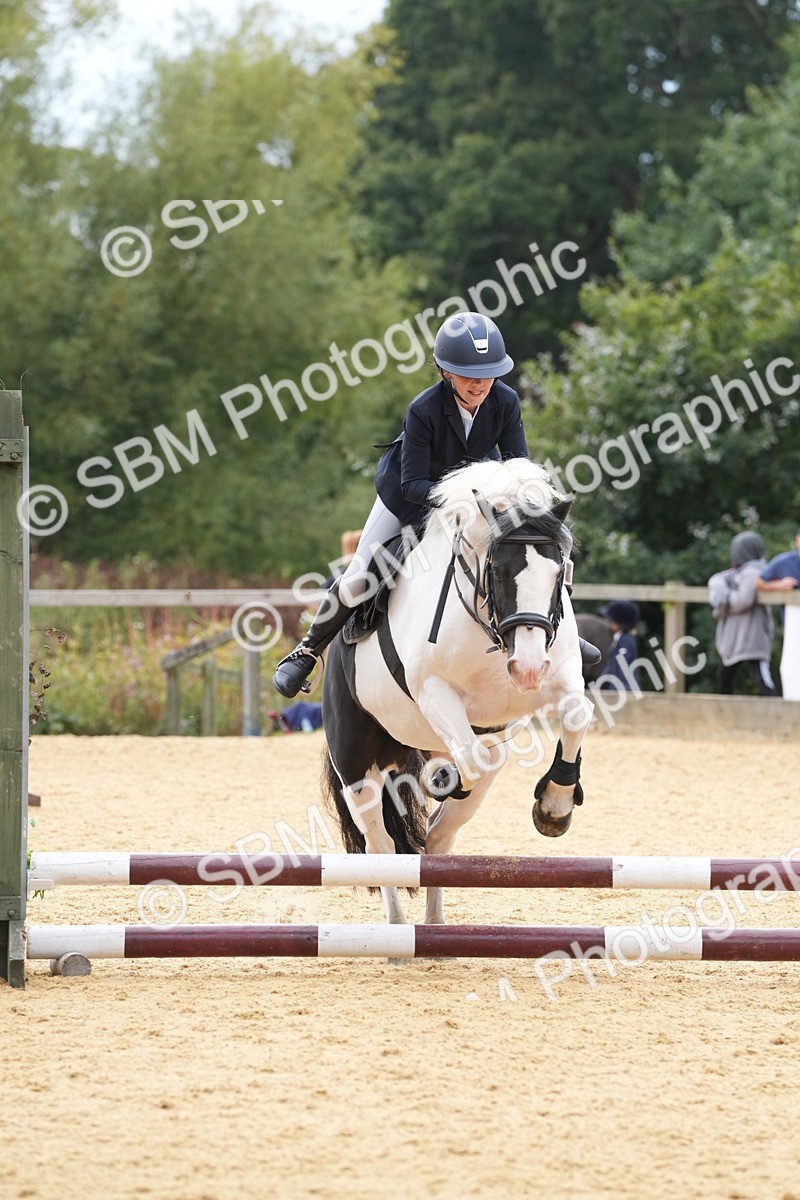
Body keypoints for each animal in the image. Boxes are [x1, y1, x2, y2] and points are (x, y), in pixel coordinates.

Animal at [321, 458, 593, 926]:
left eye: (559, 573)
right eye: (498, 571)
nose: (528, 668)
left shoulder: (557, 681)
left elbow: (576, 713)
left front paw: (554, 807)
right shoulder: (435, 693)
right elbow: (469, 756)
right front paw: (444, 779)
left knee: (438, 838)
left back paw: (434, 928)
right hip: (356, 764)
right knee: (381, 845)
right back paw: (398, 932)